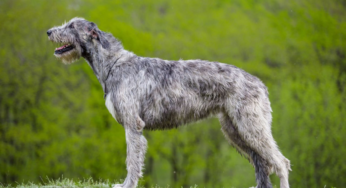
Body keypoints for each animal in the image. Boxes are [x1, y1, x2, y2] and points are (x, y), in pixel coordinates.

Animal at [46, 17, 290, 188]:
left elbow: (132, 160)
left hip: (251, 126)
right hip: (235, 130)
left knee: (281, 162)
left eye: (71, 26)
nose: (48, 31)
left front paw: (127, 184)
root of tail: (260, 83)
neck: (114, 64)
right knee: (263, 163)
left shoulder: (133, 125)